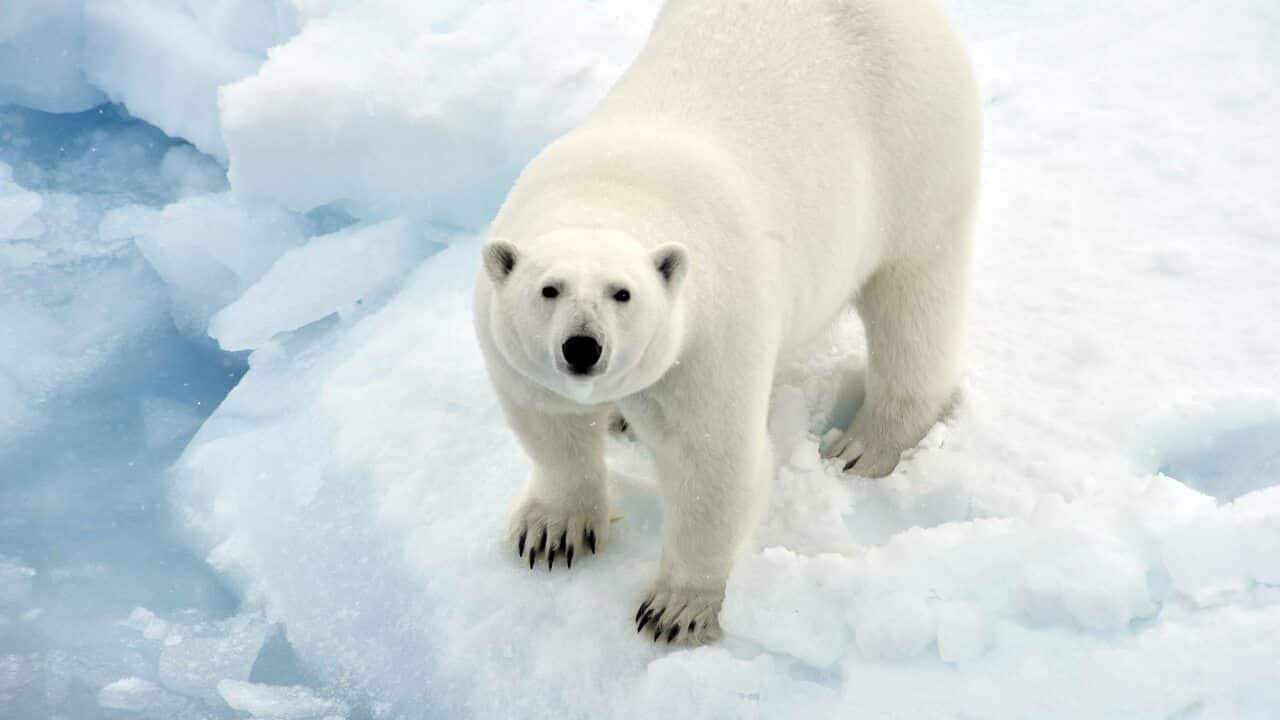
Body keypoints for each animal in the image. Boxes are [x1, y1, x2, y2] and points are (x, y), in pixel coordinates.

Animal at [473, 0, 981, 645]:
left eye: (623, 294)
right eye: (549, 289)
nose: (583, 348)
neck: (611, 192)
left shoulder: (707, 340)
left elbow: (712, 462)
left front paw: (674, 610)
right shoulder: (515, 355)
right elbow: (549, 425)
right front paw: (554, 531)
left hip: (915, 150)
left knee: (913, 302)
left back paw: (866, 444)